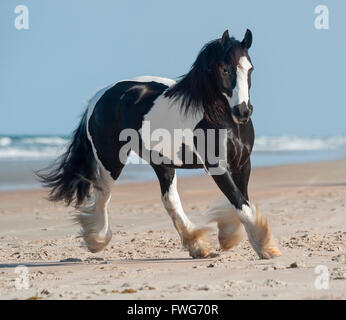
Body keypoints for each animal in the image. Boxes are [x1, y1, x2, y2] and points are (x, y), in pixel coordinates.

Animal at [37, 29, 282, 260]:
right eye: (225, 69)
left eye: (250, 69)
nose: (242, 112)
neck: (221, 118)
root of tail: (98, 98)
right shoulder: (216, 165)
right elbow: (240, 202)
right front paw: (266, 247)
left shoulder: (242, 163)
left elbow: (241, 200)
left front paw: (231, 237)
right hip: (111, 161)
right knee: (103, 196)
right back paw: (97, 240)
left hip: (161, 162)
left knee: (169, 200)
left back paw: (197, 245)